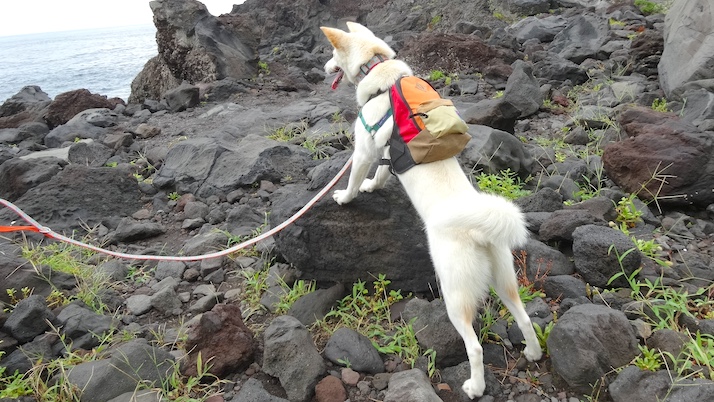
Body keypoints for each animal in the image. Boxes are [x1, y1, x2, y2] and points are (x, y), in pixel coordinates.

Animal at [320, 22, 544, 398]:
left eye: (333, 54)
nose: (324, 69)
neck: (378, 71)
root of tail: (479, 230)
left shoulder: (364, 149)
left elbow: (354, 179)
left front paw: (346, 197)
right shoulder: (387, 157)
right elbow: (381, 175)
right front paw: (372, 187)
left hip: (455, 295)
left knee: (474, 346)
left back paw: (475, 387)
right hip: (504, 279)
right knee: (524, 317)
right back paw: (533, 352)